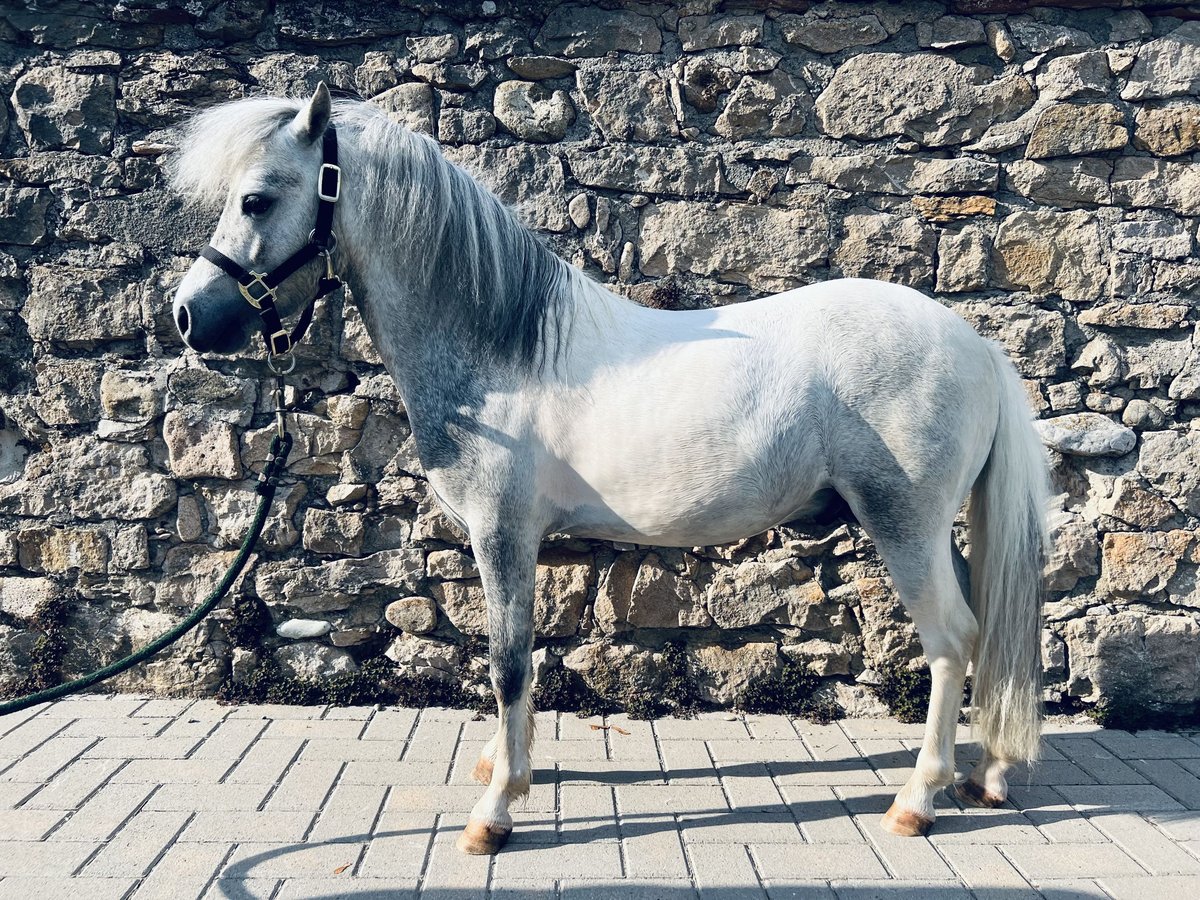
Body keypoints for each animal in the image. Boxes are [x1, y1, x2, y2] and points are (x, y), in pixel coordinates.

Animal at [171, 86, 1051, 859]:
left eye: (256, 200)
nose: (187, 317)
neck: (502, 349)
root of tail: (975, 343)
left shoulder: (502, 535)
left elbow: (509, 662)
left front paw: (495, 813)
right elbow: (517, 662)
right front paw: (505, 766)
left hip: (903, 526)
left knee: (952, 641)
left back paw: (916, 801)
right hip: (937, 532)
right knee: (987, 630)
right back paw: (989, 775)